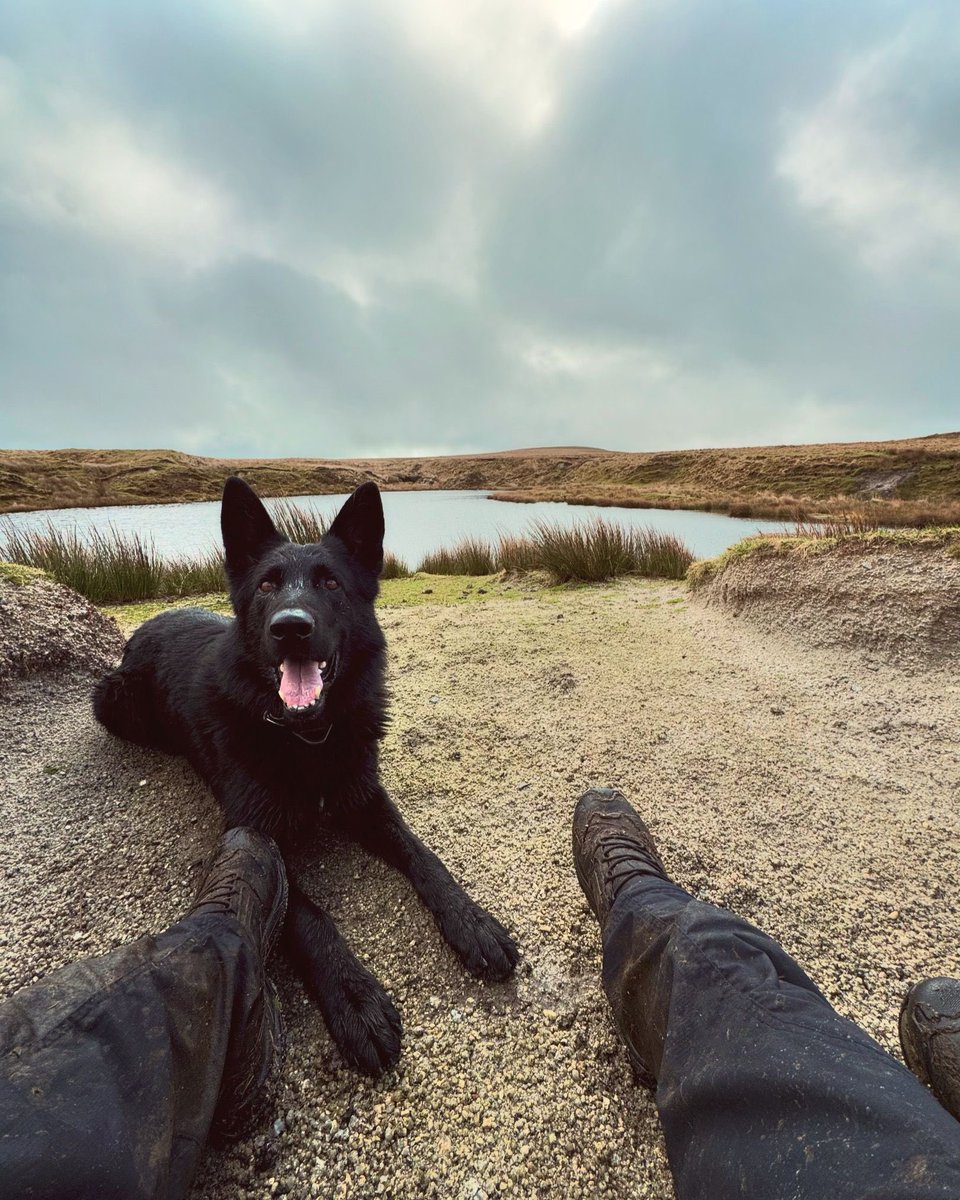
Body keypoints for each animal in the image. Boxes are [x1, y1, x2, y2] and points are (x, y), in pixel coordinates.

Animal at [91, 477, 518, 1080]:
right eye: (269, 584)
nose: (291, 627)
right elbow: (308, 916)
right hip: (111, 699)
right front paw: (354, 998)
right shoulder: (258, 835)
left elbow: (423, 857)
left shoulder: (365, 799)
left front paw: (471, 920)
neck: (307, 738)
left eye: (331, 582)